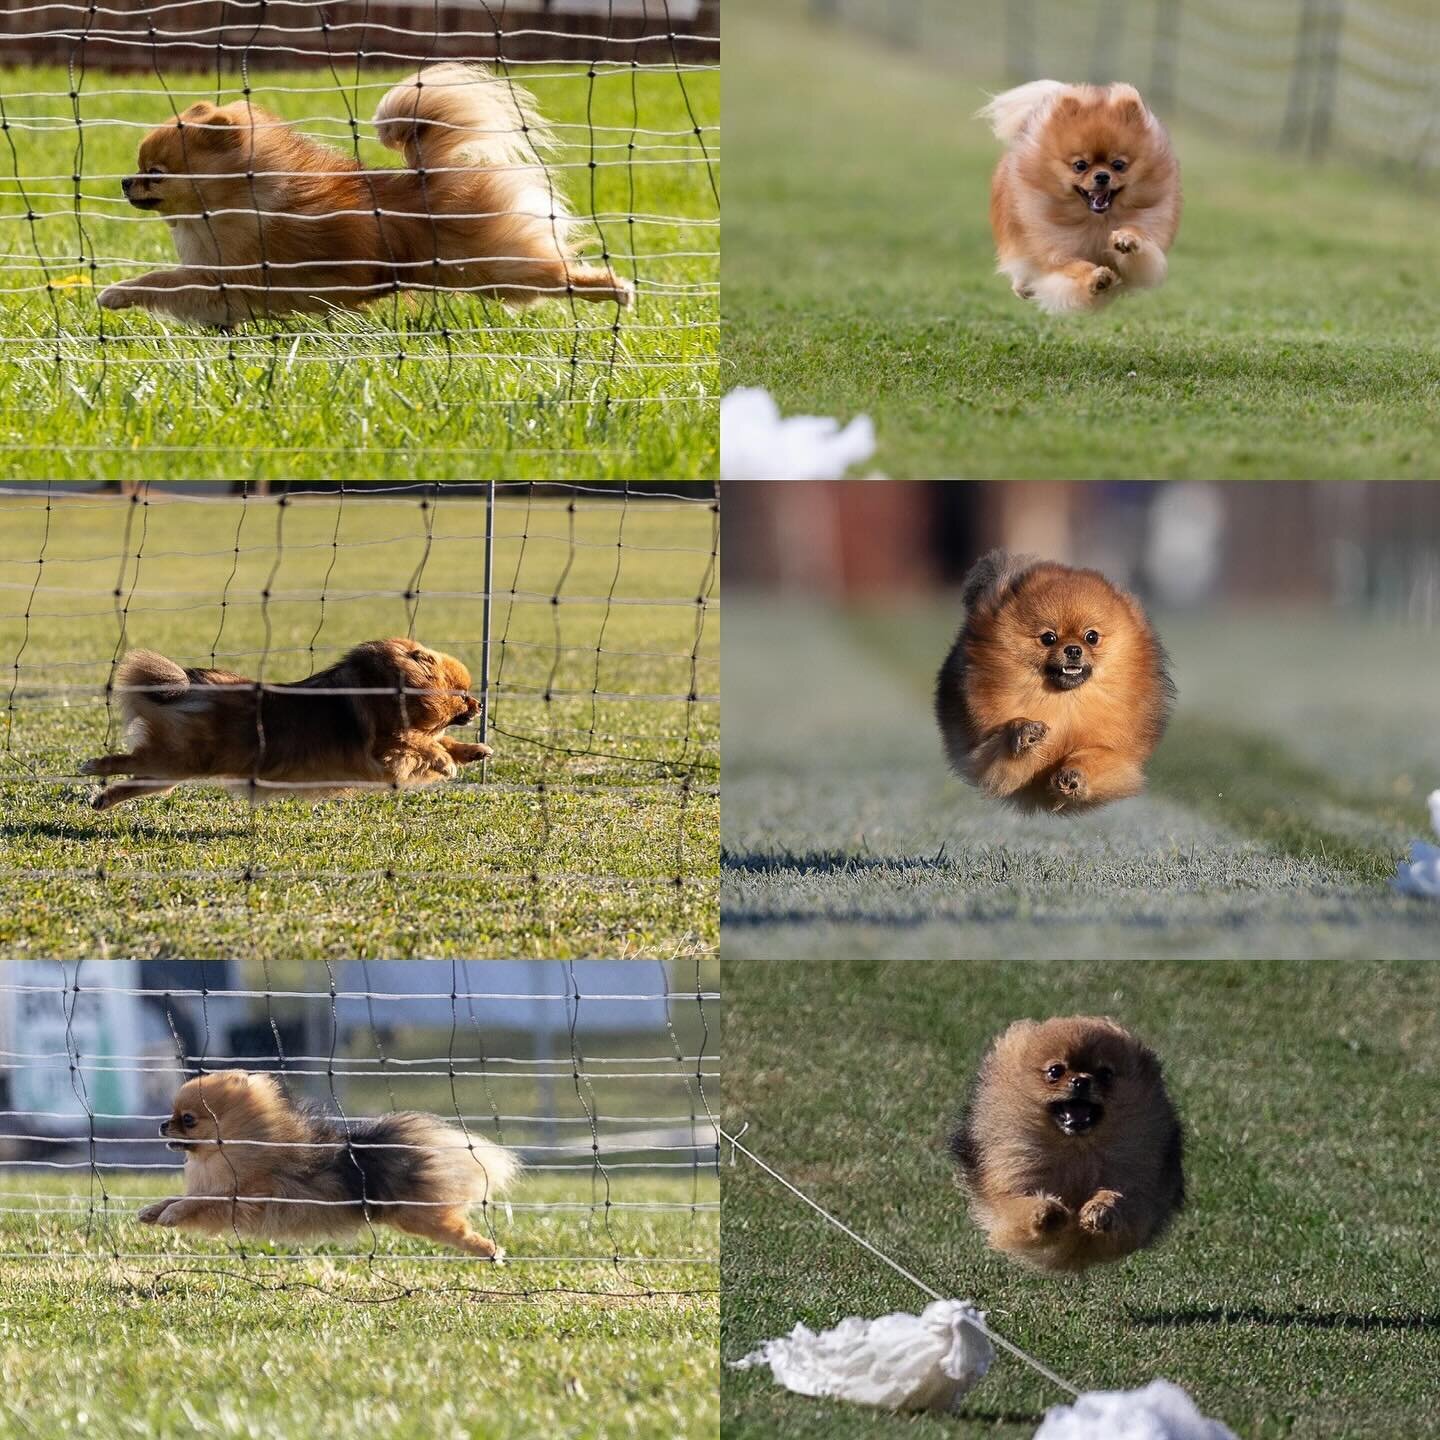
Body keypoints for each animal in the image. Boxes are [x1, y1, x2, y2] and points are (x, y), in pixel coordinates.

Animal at [81, 639, 492, 812]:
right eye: (461, 694)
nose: (479, 703)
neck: (394, 687)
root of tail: (191, 685)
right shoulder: (386, 746)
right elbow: (421, 743)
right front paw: (446, 761)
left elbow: (441, 741)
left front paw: (475, 750)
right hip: (179, 760)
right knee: (128, 760)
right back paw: (93, 766)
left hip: (173, 770)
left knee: (136, 780)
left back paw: (102, 799)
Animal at [101, 60, 630, 325]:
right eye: (138, 169)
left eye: (155, 172)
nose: (125, 181)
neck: (230, 200)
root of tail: (430, 174)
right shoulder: (223, 290)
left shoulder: (223, 275)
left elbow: (160, 280)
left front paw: (114, 293)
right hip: (492, 277)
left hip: (494, 264)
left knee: (559, 272)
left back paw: (616, 289)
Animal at [143, 1071, 515, 1261]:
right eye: (173, 1114)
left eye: (188, 1120)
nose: (161, 1125)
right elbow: (180, 1197)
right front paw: (153, 1210)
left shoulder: (243, 1194)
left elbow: (198, 1202)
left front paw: (171, 1214)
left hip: (418, 1216)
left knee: (459, 1230)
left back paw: (491, 1250)